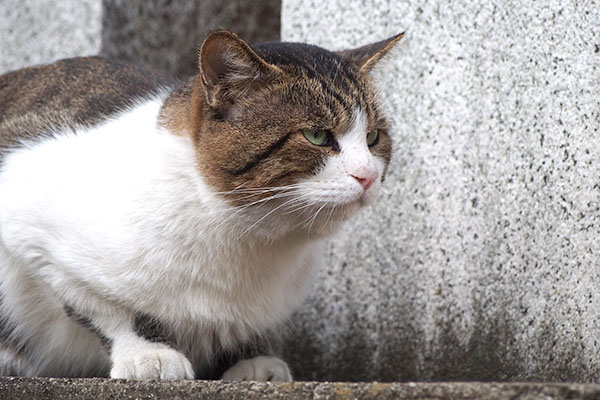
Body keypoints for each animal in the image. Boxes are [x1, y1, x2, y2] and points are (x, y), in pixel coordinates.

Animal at [0, 29, 406, 380]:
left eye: (373, 137)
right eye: (317, 135)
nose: (368, 175)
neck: (249, 235)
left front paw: (252, 358)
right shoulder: (26, 215)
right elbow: (106, 309)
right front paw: (149, 354)